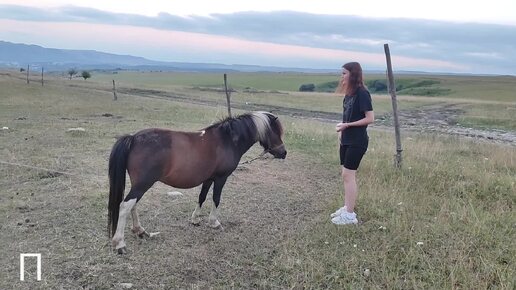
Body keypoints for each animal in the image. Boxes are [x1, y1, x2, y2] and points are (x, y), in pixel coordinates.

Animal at [108, 111, 286, 254]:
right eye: (276, 132)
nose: (283, 153)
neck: (227, 140)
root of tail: (134, 138)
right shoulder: (221, 178)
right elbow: (216, 199)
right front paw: (214, 222)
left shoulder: (208, 179)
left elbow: (202, 197)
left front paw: (195, 219)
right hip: (143, 184)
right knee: (125, 206)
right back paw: (120, 243)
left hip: (139, 184)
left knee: (133, 205)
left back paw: (140, 231)